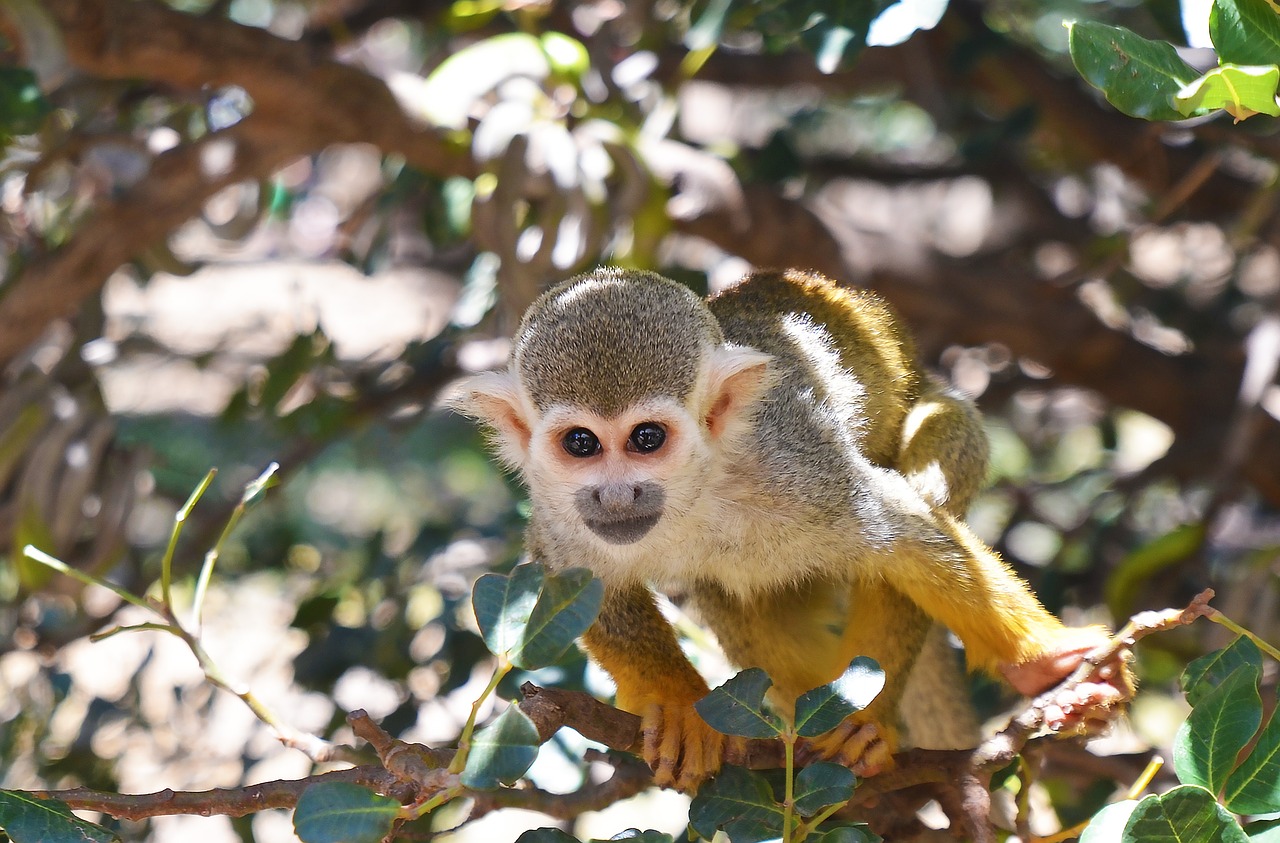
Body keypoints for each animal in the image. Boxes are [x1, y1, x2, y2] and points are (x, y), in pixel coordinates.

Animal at [450, 268, 1131, 793]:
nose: (617, 494)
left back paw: (863, 722)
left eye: (647, 438)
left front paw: (1043, 661)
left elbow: (901, 532)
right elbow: (575, 579)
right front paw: (677, 703)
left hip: (951, 423)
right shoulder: (559, 509)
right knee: (730, 591)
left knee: (923, 491)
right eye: (580, 444)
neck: (698, 488)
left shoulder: (800, 466)